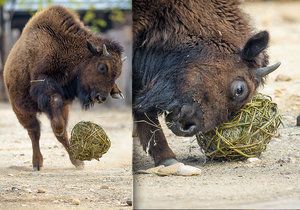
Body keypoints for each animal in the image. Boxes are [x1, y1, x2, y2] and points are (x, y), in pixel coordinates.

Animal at [3, 5, 123, 171]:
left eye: (118, 73)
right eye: (102, 67)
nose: (102, 97)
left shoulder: (63, 104)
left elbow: (60, 127)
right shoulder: (46, 88)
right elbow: (55, 121)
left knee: (57, 132)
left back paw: (77, 162)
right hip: (22, 110)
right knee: (35, 132)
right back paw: (37, 163)